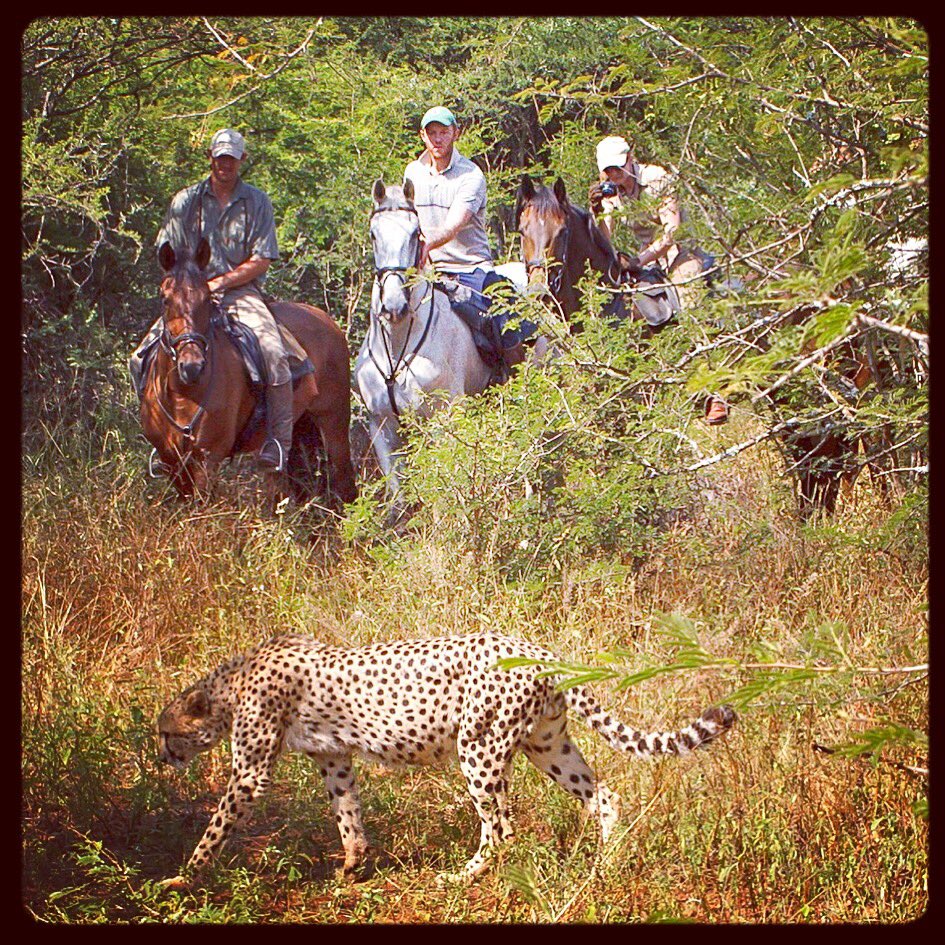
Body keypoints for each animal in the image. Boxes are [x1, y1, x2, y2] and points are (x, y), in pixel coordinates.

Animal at [157, 632, 735, 887]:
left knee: (501, 827)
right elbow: (347, 814)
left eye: (166, 732)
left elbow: (215, 827)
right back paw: (602, 865)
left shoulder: (249, 773)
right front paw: (353, 863)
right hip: (546, 746)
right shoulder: (335, 757)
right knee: (605, 796)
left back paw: (464, 876)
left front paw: (181, 878)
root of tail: (539, 649)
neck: (231, 684)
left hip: (478, 749)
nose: (163, 757)